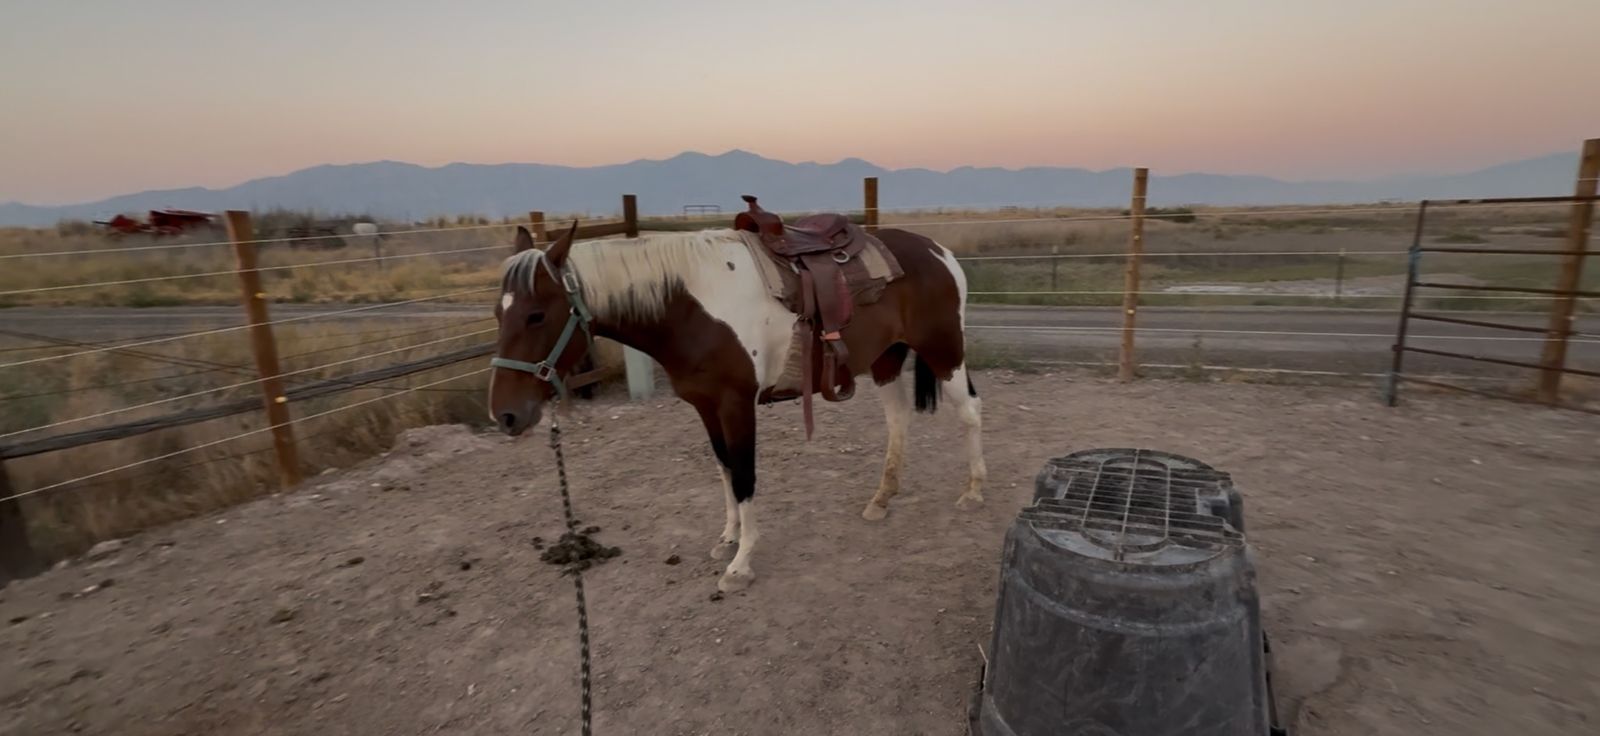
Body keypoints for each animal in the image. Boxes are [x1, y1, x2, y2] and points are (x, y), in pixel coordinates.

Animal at [487, 218, 986, 593]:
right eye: (498, 313)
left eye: (536, 315)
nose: (505, 415)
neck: (689, 308)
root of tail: (937, 250)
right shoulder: (706, 406)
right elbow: (725, 468)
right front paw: (728, 539)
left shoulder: (736, 404)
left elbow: (744, 475)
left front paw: (741, 563)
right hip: (886, 359)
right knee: (898, 419)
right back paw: (882, 498)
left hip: (944, 352)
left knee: (970, 414)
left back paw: (974, 492)